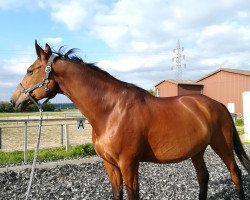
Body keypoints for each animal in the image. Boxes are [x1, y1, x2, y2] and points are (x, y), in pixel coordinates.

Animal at [10, 41, 249, 199]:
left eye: (30, 70)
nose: (14, 101)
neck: (111, 111)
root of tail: (217, 104)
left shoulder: (129, 164)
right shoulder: (110, 165)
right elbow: (117, 194)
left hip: (222, 146)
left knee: (235, 174)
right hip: (197, 151)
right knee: (203, 178)